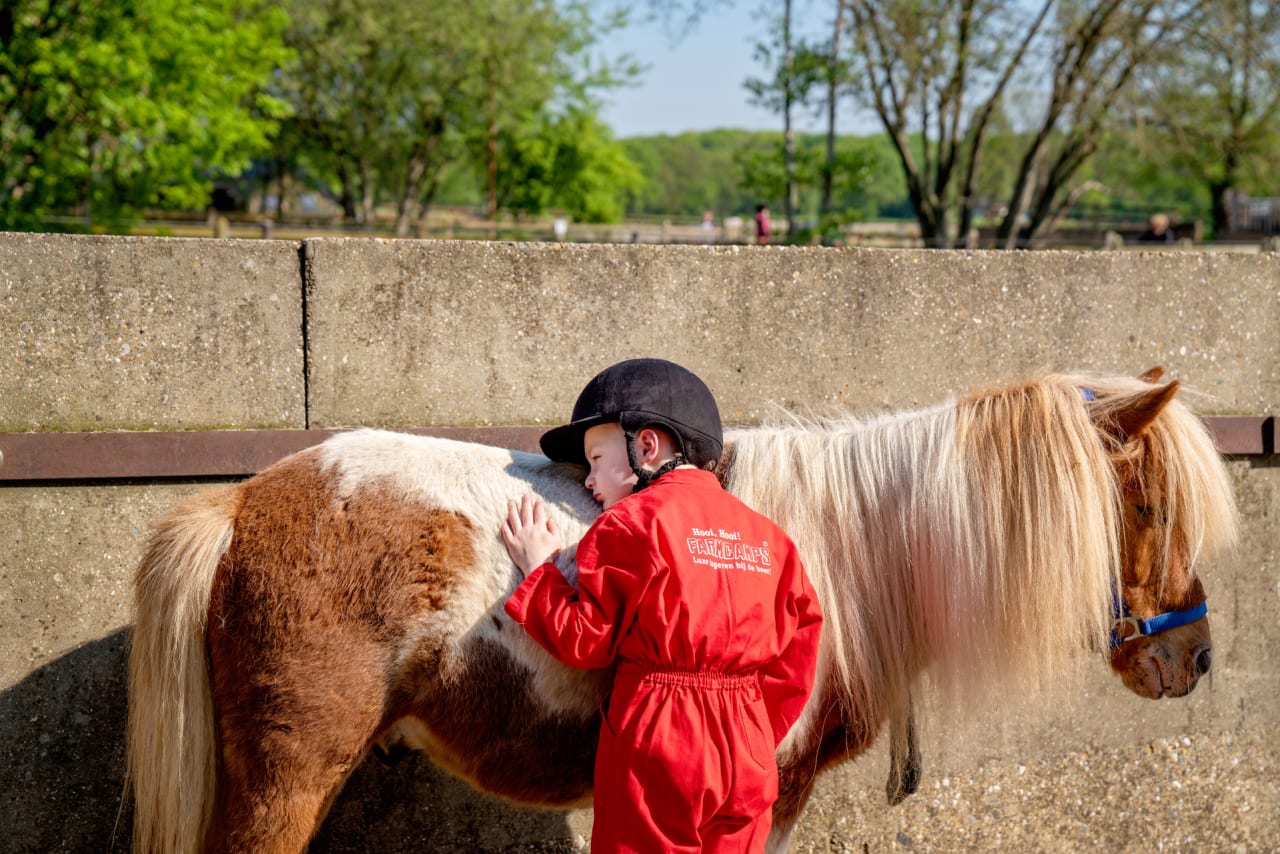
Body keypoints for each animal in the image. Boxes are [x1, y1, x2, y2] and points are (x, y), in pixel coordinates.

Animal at [126, 368, 1238, 853]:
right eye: (1148, 505)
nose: (1193, 660)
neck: (851, 550)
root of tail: (241, 504)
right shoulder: (773, 789)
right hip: (287, 776)